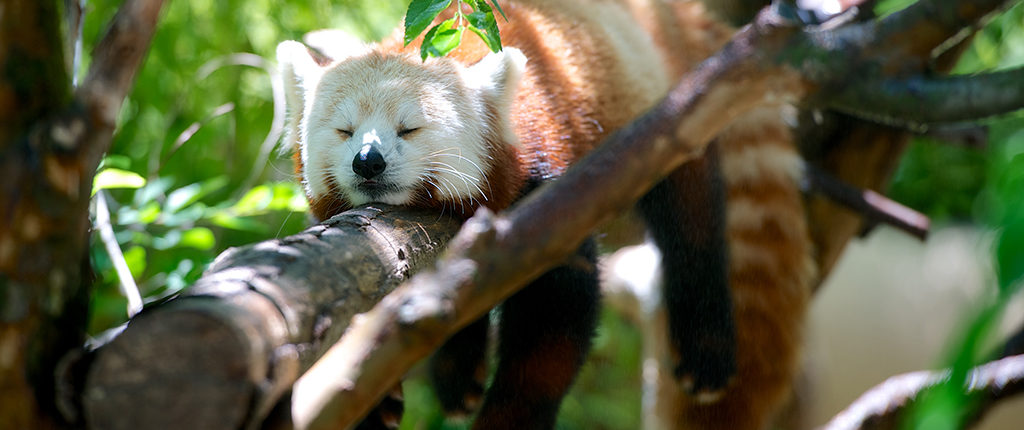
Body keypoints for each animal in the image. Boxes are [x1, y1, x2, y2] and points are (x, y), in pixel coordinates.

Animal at [276, 1, 811, 427]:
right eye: (345, 131)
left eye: (409, 129)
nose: (368, 162)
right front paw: (377, 403)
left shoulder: (547, 198)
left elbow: (554, 321)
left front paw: (505, 420)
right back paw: (458, 374)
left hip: (664, 112)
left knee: (692, 220)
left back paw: (706, 346)